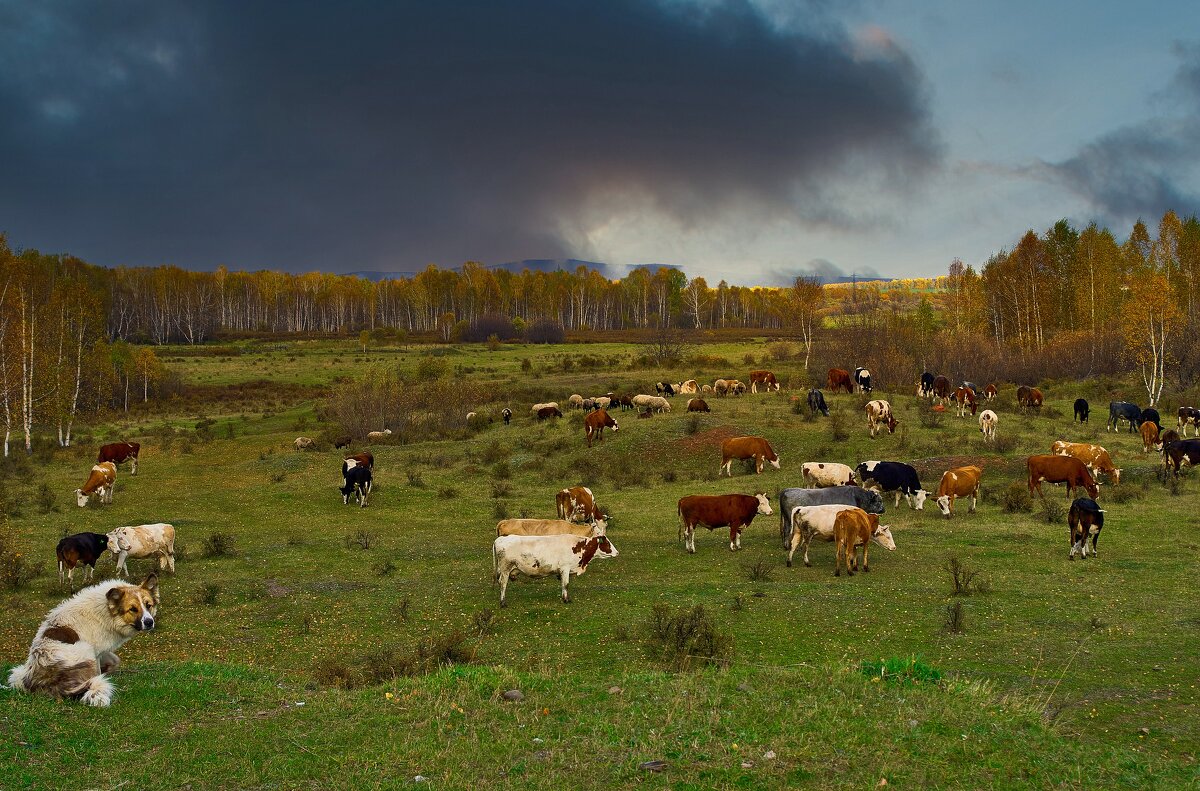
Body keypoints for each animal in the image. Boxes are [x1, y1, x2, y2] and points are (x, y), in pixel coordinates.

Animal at [5, 571, 158, 710]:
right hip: (84, 648)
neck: (105, 610)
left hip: (19, 672)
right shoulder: (95, 652)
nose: (149, 622)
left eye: (148, 605)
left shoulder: (101, 652)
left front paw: (107, 669)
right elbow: (98, 671)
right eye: (133, 609)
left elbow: (114, 661)